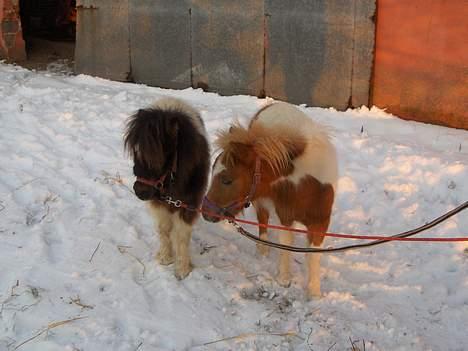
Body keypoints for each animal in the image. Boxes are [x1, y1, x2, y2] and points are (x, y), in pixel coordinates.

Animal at [126, 98, 210, 280]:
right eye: (135, 151)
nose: (140, 191)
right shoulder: (159, 203)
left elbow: (181, 235)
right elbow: (164, 229)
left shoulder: (188, 204)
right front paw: (165, 257)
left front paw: (183, 269)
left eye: (160, 157)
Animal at [201, 102, 336, 300]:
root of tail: (273, 103)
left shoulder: (320, 222)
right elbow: (286, 244)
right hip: (261, 201)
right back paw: (262, 249)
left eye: (227, 180)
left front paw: (314, 292)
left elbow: (313, 255)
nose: (205, 212)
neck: (306, 184)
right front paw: (284, 279)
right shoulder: (285, 216)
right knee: (263, 220)